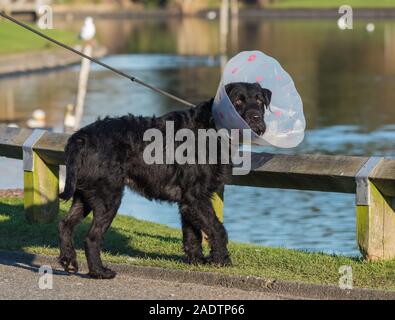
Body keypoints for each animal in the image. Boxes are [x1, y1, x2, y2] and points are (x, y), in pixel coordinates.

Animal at [58, 82, 272, 278]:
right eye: (238, 100)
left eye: (259, 100)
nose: (255, 118)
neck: (212, 127)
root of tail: (80, 137)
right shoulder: (197, 197)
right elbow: (217, 229)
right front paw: (222, 260)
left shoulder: (188, 202)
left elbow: (192, 233)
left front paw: (197, 261)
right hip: (108, 198)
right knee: (92, 237)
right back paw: (99, 271)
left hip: (84, 196)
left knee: (66, 224)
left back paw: (69, 260)